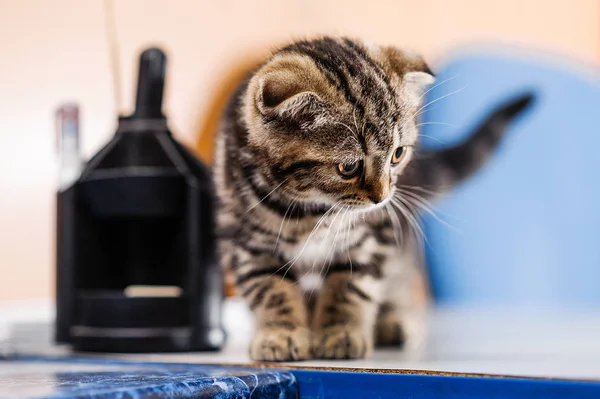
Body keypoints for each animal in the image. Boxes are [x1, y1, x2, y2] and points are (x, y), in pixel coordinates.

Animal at [213, 37, 532, 362]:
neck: (311, 209)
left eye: (398, 154)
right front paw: (280, 333)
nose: (381, 197)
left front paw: (341, 333)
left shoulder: (374, 236)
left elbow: (351, 286)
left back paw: (390, 321)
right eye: (348, 166)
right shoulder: (246, 243)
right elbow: (269, 289)